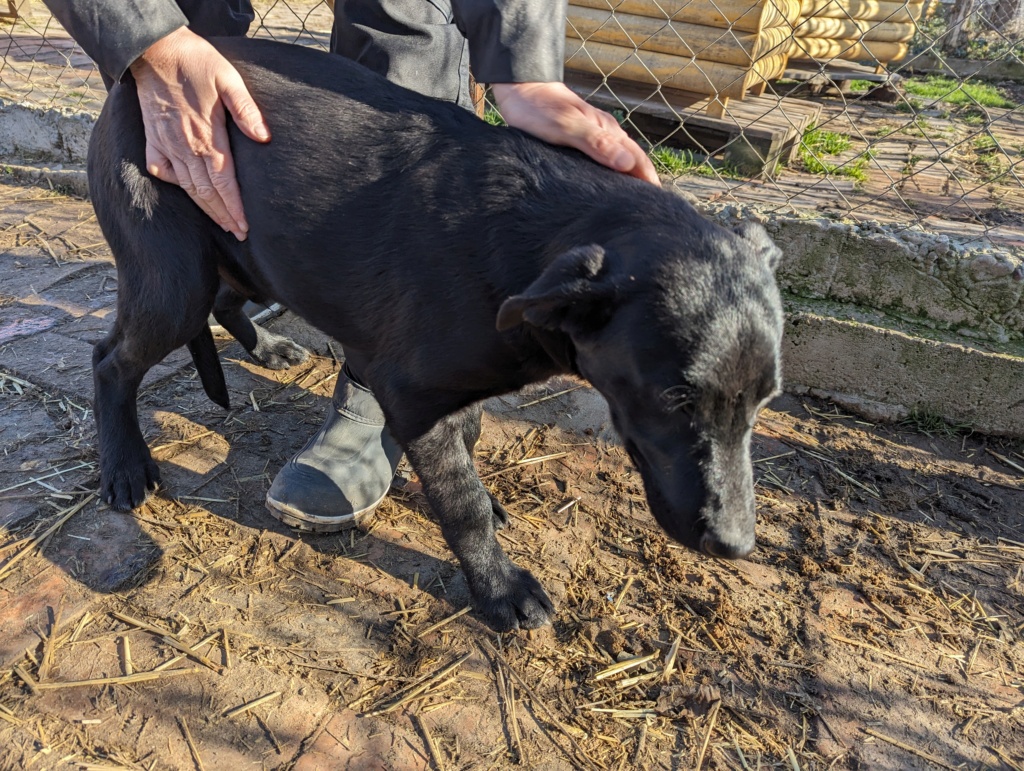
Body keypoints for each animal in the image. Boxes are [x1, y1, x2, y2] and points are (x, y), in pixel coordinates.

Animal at [90, 37, 782, 630]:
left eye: (763, 401)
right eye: (673, 400)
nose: (736, 545)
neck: (531, 242)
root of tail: (130, 83)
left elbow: (469, 444)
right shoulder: (416, 398)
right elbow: (461, 502)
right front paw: (500, 586)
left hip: (247, 250)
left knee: (227, 299)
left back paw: (268, 349)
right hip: (173, 280)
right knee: (110, 360)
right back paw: (124, 466)